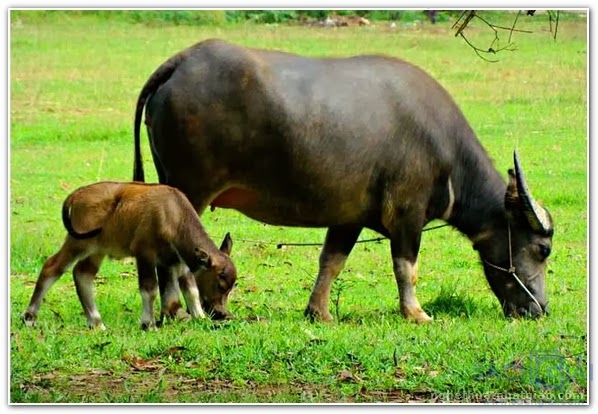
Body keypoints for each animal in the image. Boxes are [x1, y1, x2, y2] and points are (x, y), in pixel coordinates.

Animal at [134, 38, 556, 322]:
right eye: (542, 249)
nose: (539, 308)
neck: (445, 152)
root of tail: (182, 61)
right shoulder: (408, 214)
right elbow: (406, 266)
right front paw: (415, 313)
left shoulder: (349, 218)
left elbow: (331, 262)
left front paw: (318, 312)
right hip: (190, 189)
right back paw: (177, 311)